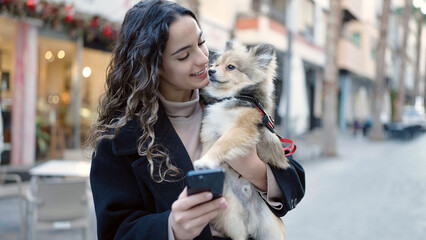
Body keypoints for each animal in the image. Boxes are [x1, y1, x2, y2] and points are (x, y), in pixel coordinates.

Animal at [196, 42, 290, 239]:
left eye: (230, 67)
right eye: (216, 64)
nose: (210, 71)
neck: (231, 96)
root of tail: (252, 222)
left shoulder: (240, 129)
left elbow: (221, 145)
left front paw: (205, 162)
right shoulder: (209, 131)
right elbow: (209, 146)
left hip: (272, 231)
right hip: (233, 219)